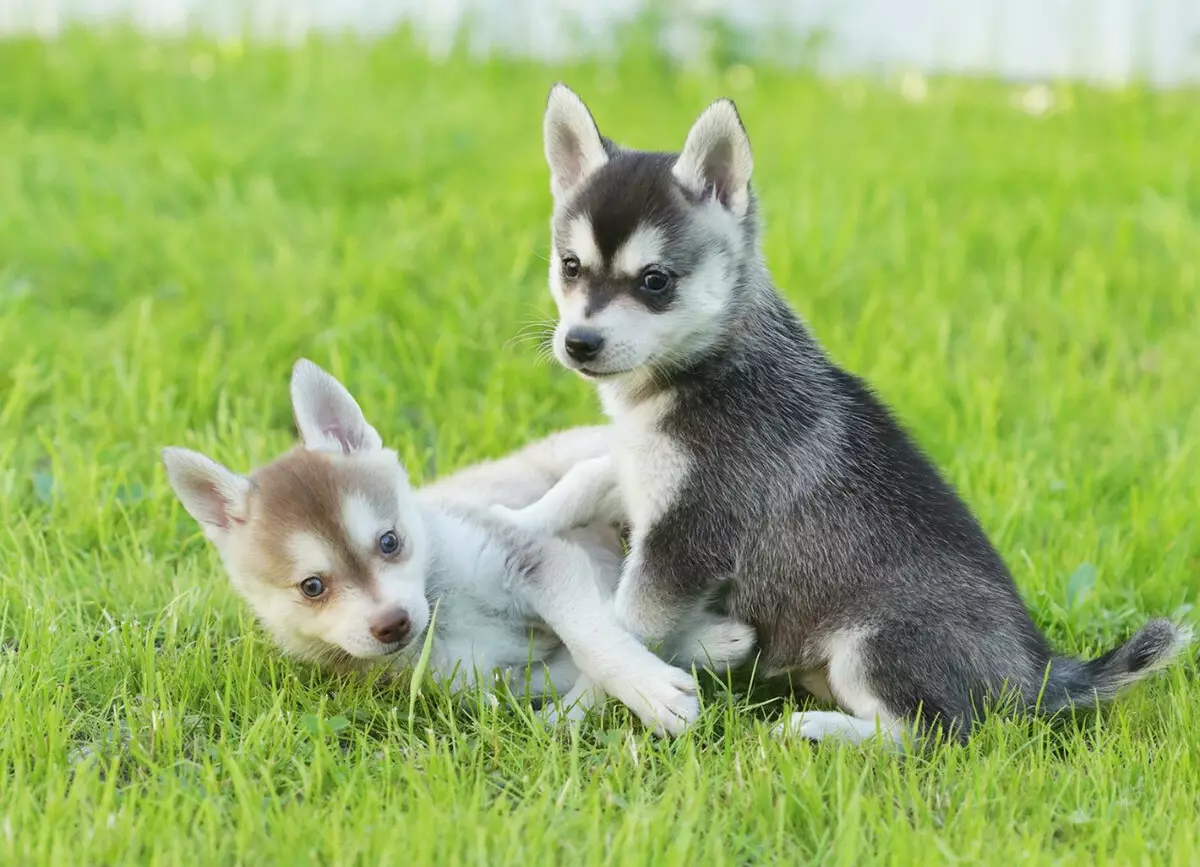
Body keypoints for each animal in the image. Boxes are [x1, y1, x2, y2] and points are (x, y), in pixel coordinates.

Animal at [159, 355, 748, 730]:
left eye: (390, 541)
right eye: (311, 587)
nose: (392, 624)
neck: (443, 606)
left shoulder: (531, 558)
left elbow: (595, 636)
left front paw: (649, 687)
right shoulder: (496, 678)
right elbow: (588, 656)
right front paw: (693, 653)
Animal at [535, 82, 1190, 744]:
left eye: (655, 281)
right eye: (570, 266)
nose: (579, 343)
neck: (702, 369)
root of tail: (1037, 672)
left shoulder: (686, 540)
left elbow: (624, 625)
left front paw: (589, 703)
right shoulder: (641, 474)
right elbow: (584, 478)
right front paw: (522, 519)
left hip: (874, 642)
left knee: (925, 734)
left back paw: (814, 728)